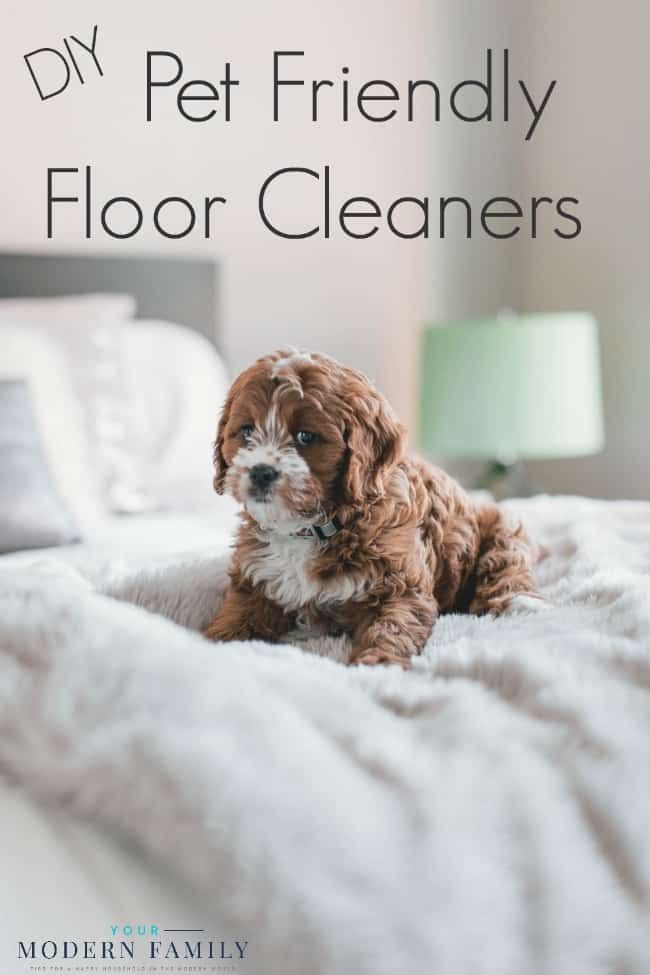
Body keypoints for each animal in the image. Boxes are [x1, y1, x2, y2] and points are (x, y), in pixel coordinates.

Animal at [205, 352, 540, 672]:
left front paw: (377, 666)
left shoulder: (400, 585)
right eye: (246, 431)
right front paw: (209, 643)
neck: (311, 527)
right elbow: (237, 617)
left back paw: (522, 604)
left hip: (500, 526)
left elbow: (392, 627)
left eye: (305, 436)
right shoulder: (256, 580)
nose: (261, 472)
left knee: (507, 563)